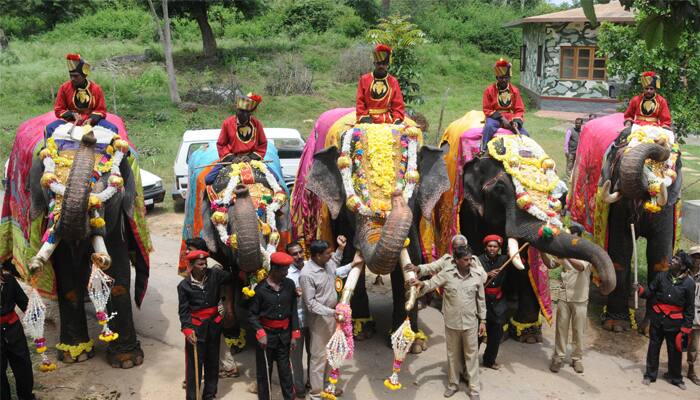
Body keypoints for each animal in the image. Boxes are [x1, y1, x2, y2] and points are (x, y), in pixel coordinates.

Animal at [0, 111, 151, 368]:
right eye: (50, 191)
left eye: (110, 191)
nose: (88, 134)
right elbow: (67, 274)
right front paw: (76, 355)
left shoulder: (119, 215)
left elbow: (118, 269)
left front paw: (128, 361)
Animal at [290, 108, 448, 352]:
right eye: (350, 201)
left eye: (414, 191)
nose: (395, 196)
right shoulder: (340, 215)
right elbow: (346, 257)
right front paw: (361, 332)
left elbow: (411, 258)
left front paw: (411, 343)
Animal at [434, 111, 616, 340]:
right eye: (500, 190)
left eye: (561, 196)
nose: (606, 285)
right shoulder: (468, 205)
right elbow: (473, 245)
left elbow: (526, 260)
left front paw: (527, 333)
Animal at [568, 112, 684, 332]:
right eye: (619, 161)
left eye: (666, 168)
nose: (660, 144)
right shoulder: (618, 205)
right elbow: (620, 251)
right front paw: (616, 326)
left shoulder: (669, 205)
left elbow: (660, 256)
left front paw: (649, 329)